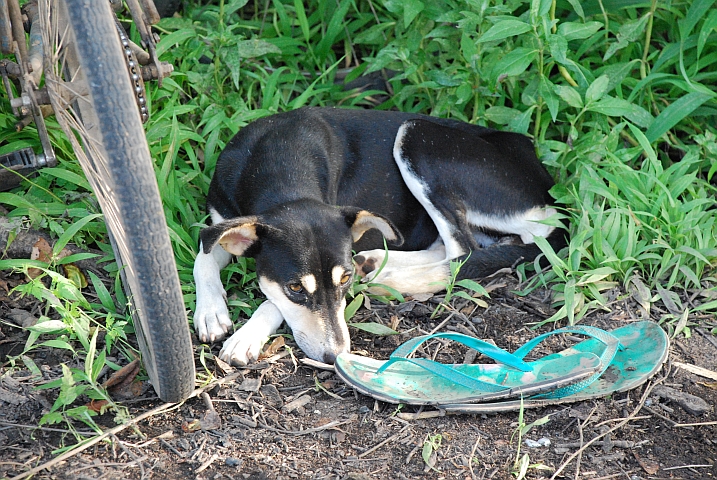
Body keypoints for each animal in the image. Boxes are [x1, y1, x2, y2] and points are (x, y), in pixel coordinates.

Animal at [192, 107, 564, 366]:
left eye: (344, 280)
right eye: (296, 287)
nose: (336, 355)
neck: (280, 161)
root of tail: (547, 186)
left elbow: (271, 301)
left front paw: (247, 336)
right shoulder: (220, 223)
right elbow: (203, 256)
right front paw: (211, 312)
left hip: (417, 137)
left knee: (462, 252)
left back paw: (391, 278)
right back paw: (377, 264)